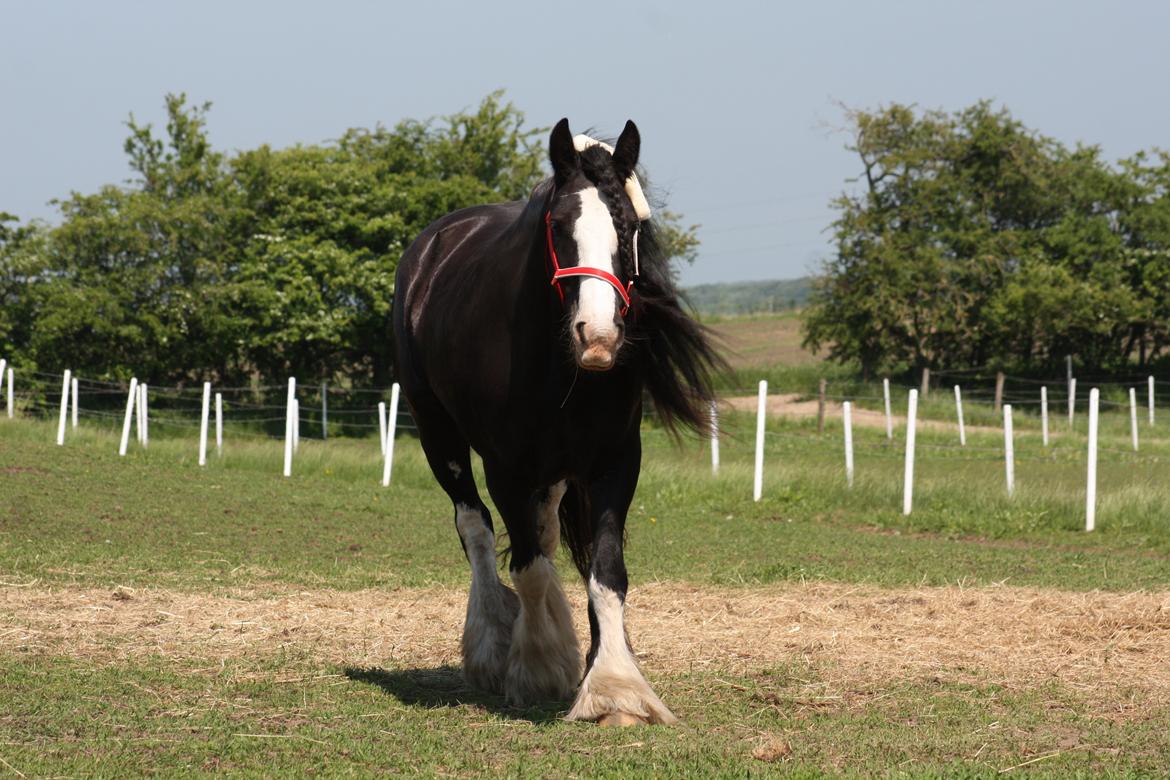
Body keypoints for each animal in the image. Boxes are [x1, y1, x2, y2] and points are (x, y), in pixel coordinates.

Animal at [393, 117, 720, 725]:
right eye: (558, 225)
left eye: (628, 224)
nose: (598, 335)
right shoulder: (505, 467)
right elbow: (528, 565)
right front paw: (540, 666)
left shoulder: (615, 462)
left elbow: (606, 570)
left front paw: (615, 686)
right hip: (438, 434)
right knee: (475, 528)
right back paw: (494, 645)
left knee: (540, 533)